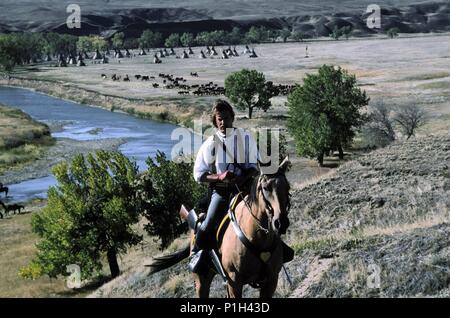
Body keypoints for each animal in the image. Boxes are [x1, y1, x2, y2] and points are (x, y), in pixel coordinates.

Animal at [148, 157, 292, 298]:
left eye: (288, 187)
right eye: (266, 187)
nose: (281, 223)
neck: (257, 237)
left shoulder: (271, 281)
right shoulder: (234, 282)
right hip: (201, 281)